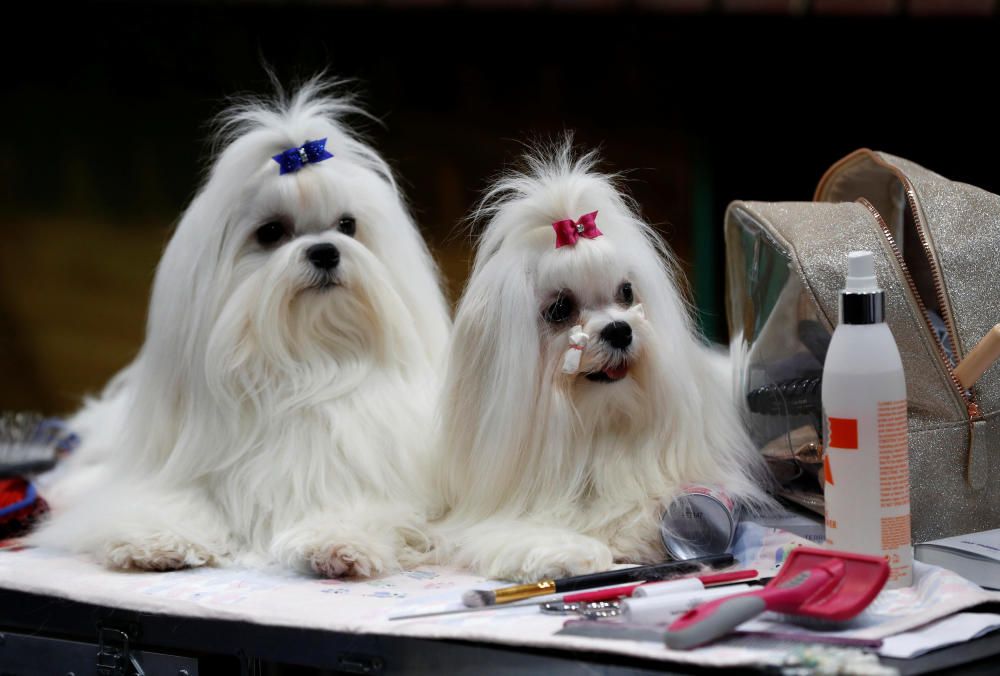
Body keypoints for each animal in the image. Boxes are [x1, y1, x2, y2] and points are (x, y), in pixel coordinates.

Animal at [34, 78, 450, 576]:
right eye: (270, 232)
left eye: (348, 225)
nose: (325, 251)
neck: (310, 367)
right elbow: (170, 501)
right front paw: (156, 540)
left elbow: (365, 509)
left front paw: (338, 542)